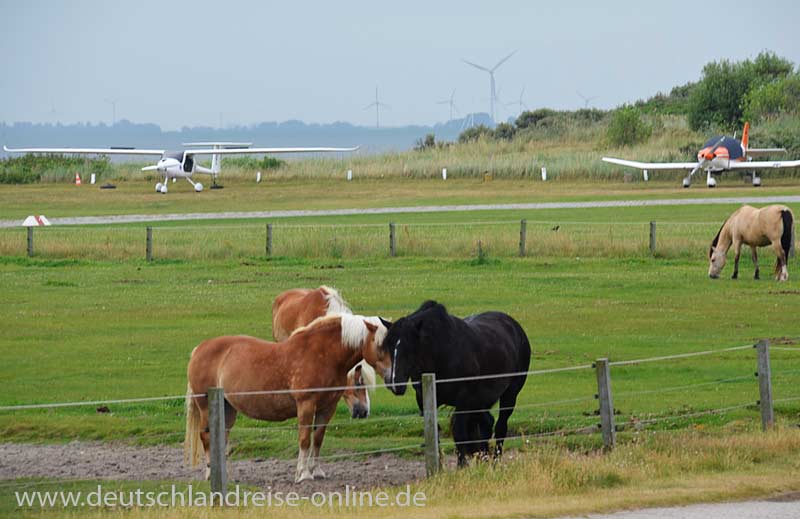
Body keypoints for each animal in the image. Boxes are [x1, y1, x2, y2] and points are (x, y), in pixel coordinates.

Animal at [185, 314, 390, 486]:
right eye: (358, 381)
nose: (363, 411)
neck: (322, 355)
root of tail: (198, 349)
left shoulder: (326, 408)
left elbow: (318, 439)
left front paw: (317, 471)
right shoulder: (306, 405)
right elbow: (305, 440)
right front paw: (303, 474)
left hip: (227, 408)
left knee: (221, 438)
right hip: (205, 407)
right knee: (207, 437)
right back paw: (210, 475)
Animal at [380, 300, 532, 468]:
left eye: (410, 348)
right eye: (389, 347)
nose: (396, 384)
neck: (441, 355)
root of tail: (515, 327)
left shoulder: (464, 401)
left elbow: (459, 433)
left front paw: (461, 466)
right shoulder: (425, 400)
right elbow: (434, 433)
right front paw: (439, 467)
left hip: (509, 394)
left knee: (500, 426)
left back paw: (495, 462)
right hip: (481, 400)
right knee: (487, 423)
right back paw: (484, 459)